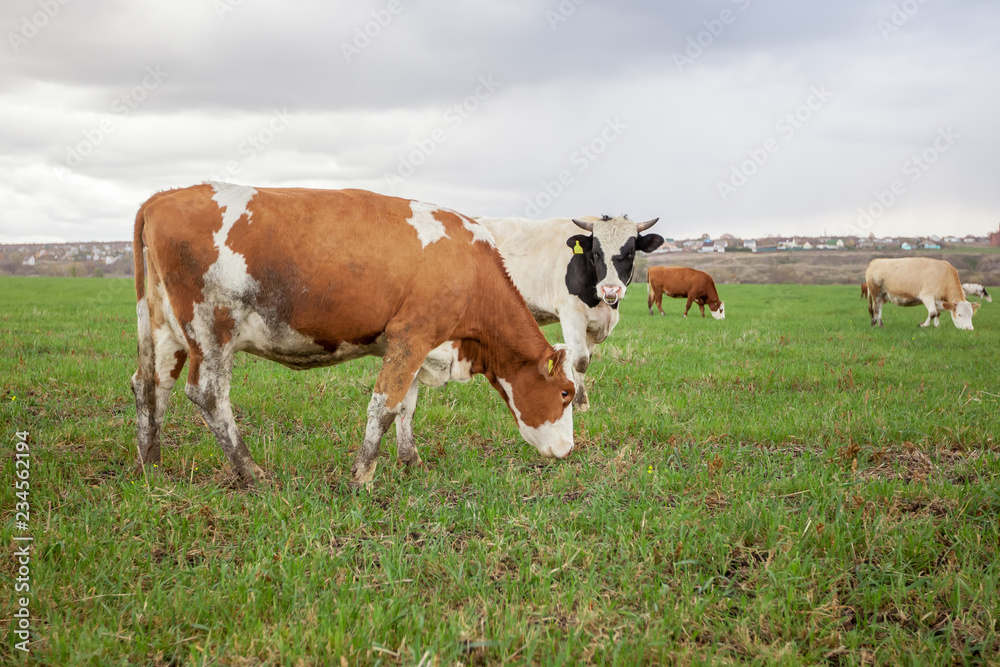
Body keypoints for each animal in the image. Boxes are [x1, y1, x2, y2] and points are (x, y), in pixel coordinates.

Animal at [129, 180, 576, 488]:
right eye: (566, 393)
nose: (568, 450)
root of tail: (163, 197)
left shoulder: (416, 346)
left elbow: (406, 407)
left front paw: (411, 462)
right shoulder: (412, 335)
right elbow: (384, 407)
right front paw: (362, 476)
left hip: (165, 330)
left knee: (150, 385)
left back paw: (150, 462)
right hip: (211, 326)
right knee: (207, 394)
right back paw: (251, 470)